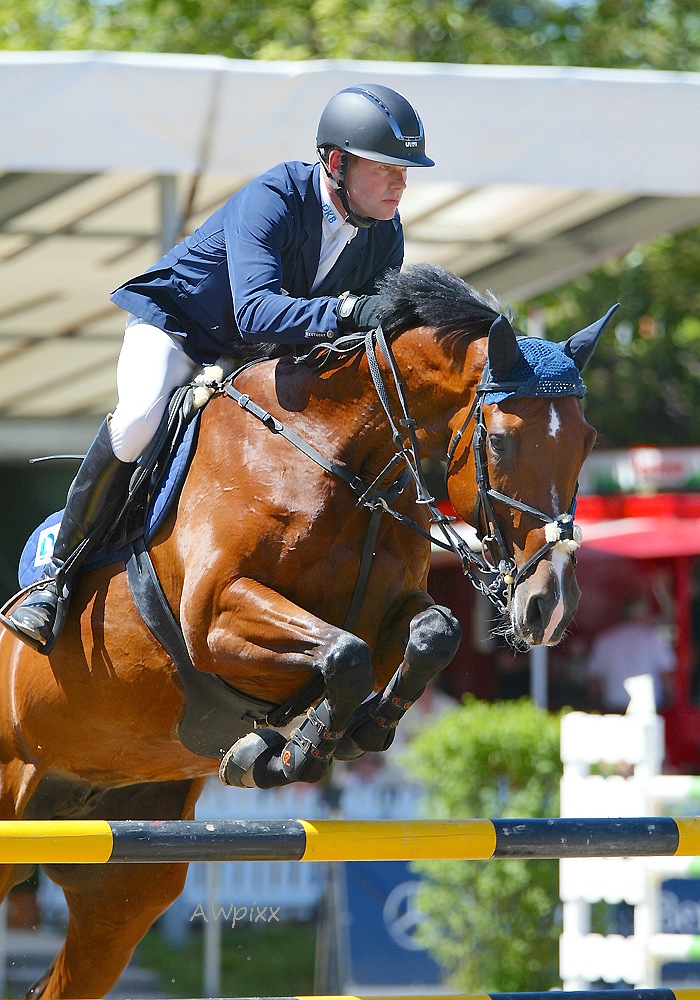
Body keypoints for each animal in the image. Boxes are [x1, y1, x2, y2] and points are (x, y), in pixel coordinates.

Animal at [0, 262, 612, 996]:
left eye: (588, 441)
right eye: (501, 439)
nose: (551, 606)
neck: (336, 457)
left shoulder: (390, 610)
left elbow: (430, 634)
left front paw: (351, 732)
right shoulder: (215, 618)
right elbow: (342, 655)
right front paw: (296, 750)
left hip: (124, 878)